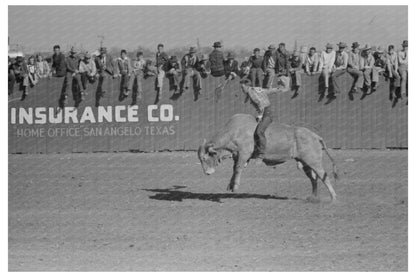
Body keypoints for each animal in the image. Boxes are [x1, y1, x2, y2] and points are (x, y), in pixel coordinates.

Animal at [198, 113, 338, 202]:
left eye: (204, 158)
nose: (207, 173)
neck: (235, 131)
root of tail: (316, 136)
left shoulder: (244, 153)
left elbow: (238, 168)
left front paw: (235, 186)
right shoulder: (237, 155)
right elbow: (235, 168)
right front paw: (230, 185)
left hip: (314, 161)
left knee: (324, 176)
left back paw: (333, 198)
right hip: (305, 163)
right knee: (314, 179)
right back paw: (313, 197)